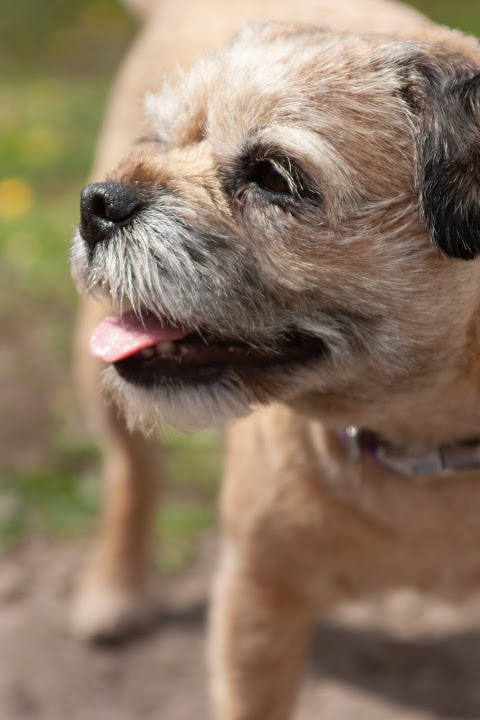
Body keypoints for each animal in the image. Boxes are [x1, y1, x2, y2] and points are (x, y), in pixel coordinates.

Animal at [71, 0, 480, 716]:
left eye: (275, 177)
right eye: (162, 141)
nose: (100, 203)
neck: (421, 438)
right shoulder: (258, 599)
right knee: (131, 476)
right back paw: (113, 592)